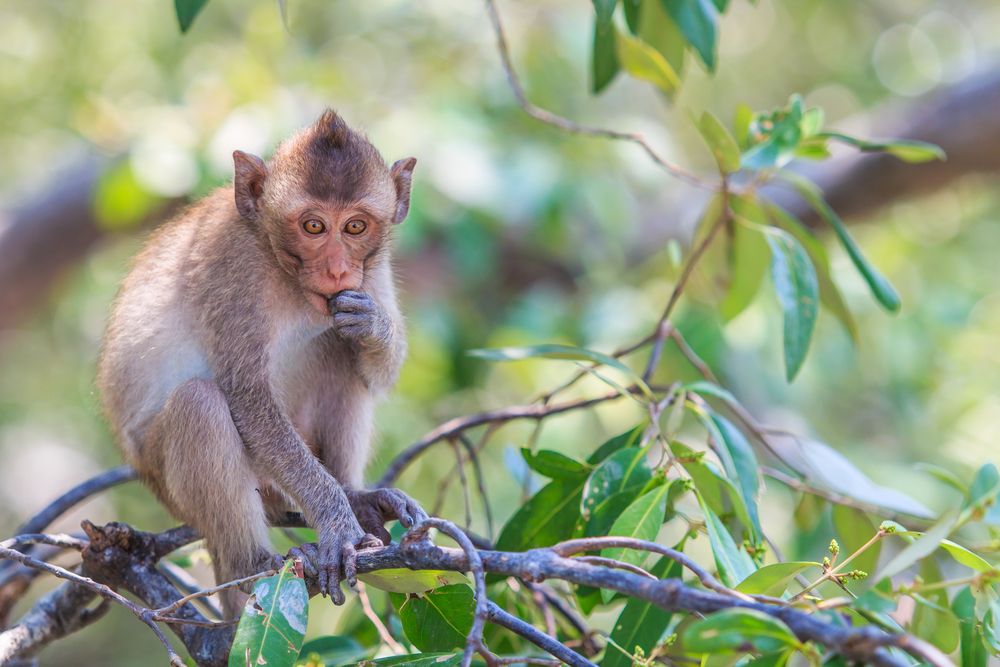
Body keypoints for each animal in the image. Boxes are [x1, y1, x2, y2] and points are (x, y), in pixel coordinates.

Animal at [97, 108, 430, 616]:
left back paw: (356, 494)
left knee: (338, 354)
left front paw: (372, 325)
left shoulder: (372, 270)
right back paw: (252, 562)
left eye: (355, 227)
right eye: (313, 227)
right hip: (177, 484)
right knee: (199, 403)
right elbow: (248, 398)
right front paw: (336, 523)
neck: (278, 261)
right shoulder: (232, 271)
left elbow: (378, 373)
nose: (337, 269)